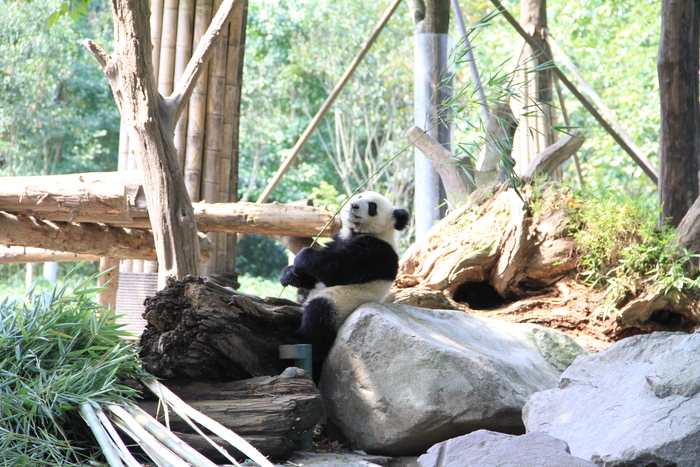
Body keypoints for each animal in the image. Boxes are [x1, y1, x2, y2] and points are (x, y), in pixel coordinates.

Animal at [280, 190, 410, 376]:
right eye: (359, 196)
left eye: (372, 206)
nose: (353, 205)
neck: (359, 232)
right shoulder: (339, 240)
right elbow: (316, 275)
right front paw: (290, 274)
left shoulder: (376, 252)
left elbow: (338, 270)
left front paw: (304, 254)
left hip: (342, 303)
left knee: (320, 314)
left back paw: (299, 338)